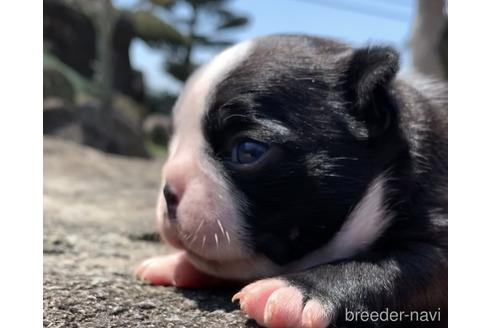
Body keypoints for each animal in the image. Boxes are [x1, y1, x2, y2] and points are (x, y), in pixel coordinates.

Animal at [136, 34, 448, 326]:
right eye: (171, 144)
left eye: (248, 151)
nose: (168, 191)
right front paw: (175, 264)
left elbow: (385, 267)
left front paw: (296, 291)